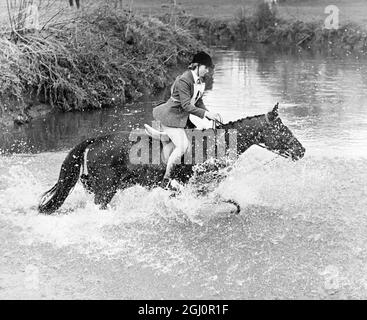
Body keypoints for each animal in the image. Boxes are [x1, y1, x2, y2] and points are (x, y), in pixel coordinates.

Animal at [38, 104, 306, 215]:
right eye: (282, 130)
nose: (302, 151)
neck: (216, 145)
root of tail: (96, 139)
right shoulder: (197, 184)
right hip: (106, 188)